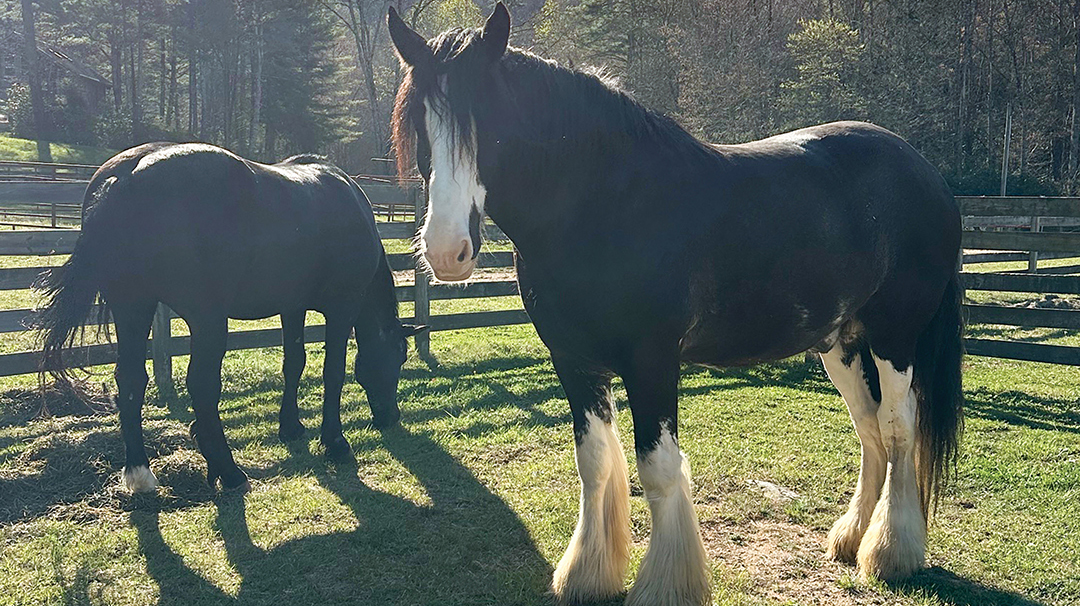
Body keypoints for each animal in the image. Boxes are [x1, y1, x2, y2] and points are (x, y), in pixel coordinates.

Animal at [35, 142, 426, 493]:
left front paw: (291, 427)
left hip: (133, 307)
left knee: (131, 380)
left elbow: (294, 363)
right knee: (202, 385)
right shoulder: (342, 307)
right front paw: (335, 442)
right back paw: (229, 471)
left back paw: (141, 474)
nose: (391, 417)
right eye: (398, 357)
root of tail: (126, 175)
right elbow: (333, 371)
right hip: (205, 319)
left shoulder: (292, 307)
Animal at [388, 4, 963, 605]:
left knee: (898, 426)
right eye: (421, 129)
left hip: (895, 337)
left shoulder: (652, 361)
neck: (607, 205)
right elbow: (594, 462)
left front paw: (667, 582)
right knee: (870, 428)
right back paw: (851, 540)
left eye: (494, 127)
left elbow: (658, 469)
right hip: (840, 343)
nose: (446, 252)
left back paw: (890, 554)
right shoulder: (574, 361)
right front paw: (589, 573)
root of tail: (924, 172)